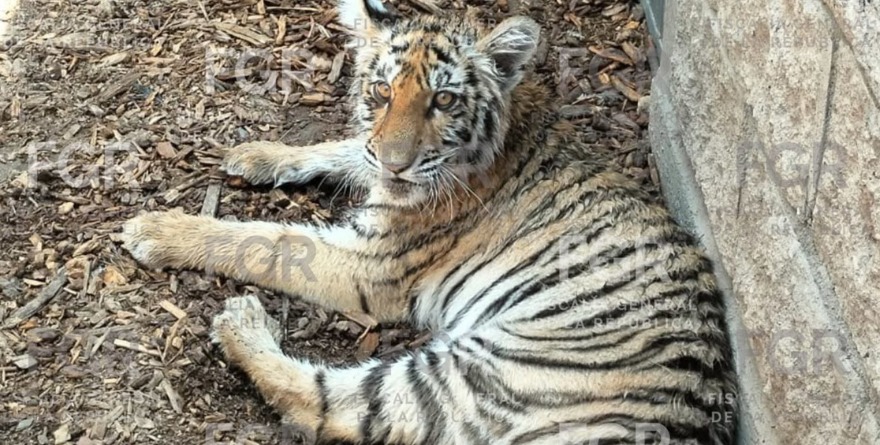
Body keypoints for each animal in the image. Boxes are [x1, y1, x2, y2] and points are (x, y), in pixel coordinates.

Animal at [120, 0, 739, 443]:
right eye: (380, 91)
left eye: (443, 100)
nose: (398, 163)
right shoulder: (372, 166)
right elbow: (345, 148)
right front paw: (256, 154)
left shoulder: (371, 264)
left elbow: (263, 240)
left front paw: (155, 229)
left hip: (485, 374)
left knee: (332, 403)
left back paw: (242, 323)